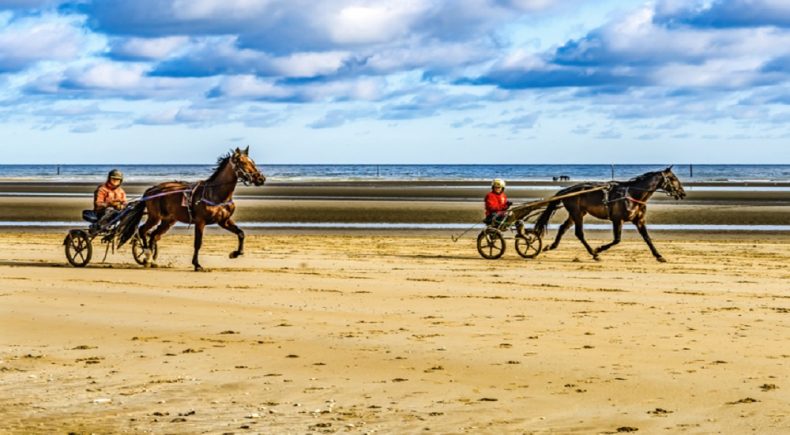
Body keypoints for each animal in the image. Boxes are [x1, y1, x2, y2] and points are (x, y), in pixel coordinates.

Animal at [118, 147, 266, 270]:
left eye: (253, 161)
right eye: (243, 162)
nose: (261, 178)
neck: (215, 194)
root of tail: (151, 190)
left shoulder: (224, 221)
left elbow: (241, 233)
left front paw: (235, 253)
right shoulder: (200, 222)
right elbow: (198, 243)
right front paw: (197, 264)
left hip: (168, 220)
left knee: (154, 235)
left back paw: (152, 260)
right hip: (155, 217)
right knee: (143, 231)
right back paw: (147, 255)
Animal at [536, 167, 688, 262]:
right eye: (673, 178)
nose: (683, 193)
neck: (632, 195)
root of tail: (567, 190)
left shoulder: (639, 221)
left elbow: (647, 238)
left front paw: (659, 256)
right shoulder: (617, 219)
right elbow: (617, 240)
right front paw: (599, 249)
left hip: (577, 213)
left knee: (563, 228)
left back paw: (551, 246)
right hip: (577, 213)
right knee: (579, 233)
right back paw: (594, 254)